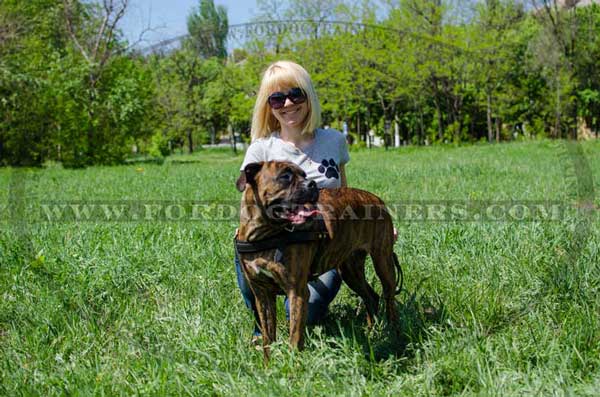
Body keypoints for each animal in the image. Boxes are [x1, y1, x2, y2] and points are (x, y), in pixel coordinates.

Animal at [237, 161, 400, 358]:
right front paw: (268, 364)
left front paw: (293, 363)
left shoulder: (297, 293)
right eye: (285, 176)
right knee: (371, 296)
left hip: (383, 261)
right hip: (350, 270)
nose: (312, 184)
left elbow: (295, 337)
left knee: (389, 298)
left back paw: (393, 335)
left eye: (304, 174)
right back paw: (371, 332)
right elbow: (268, 337)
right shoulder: (262, 295)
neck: (264, 234)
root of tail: (377, 199)